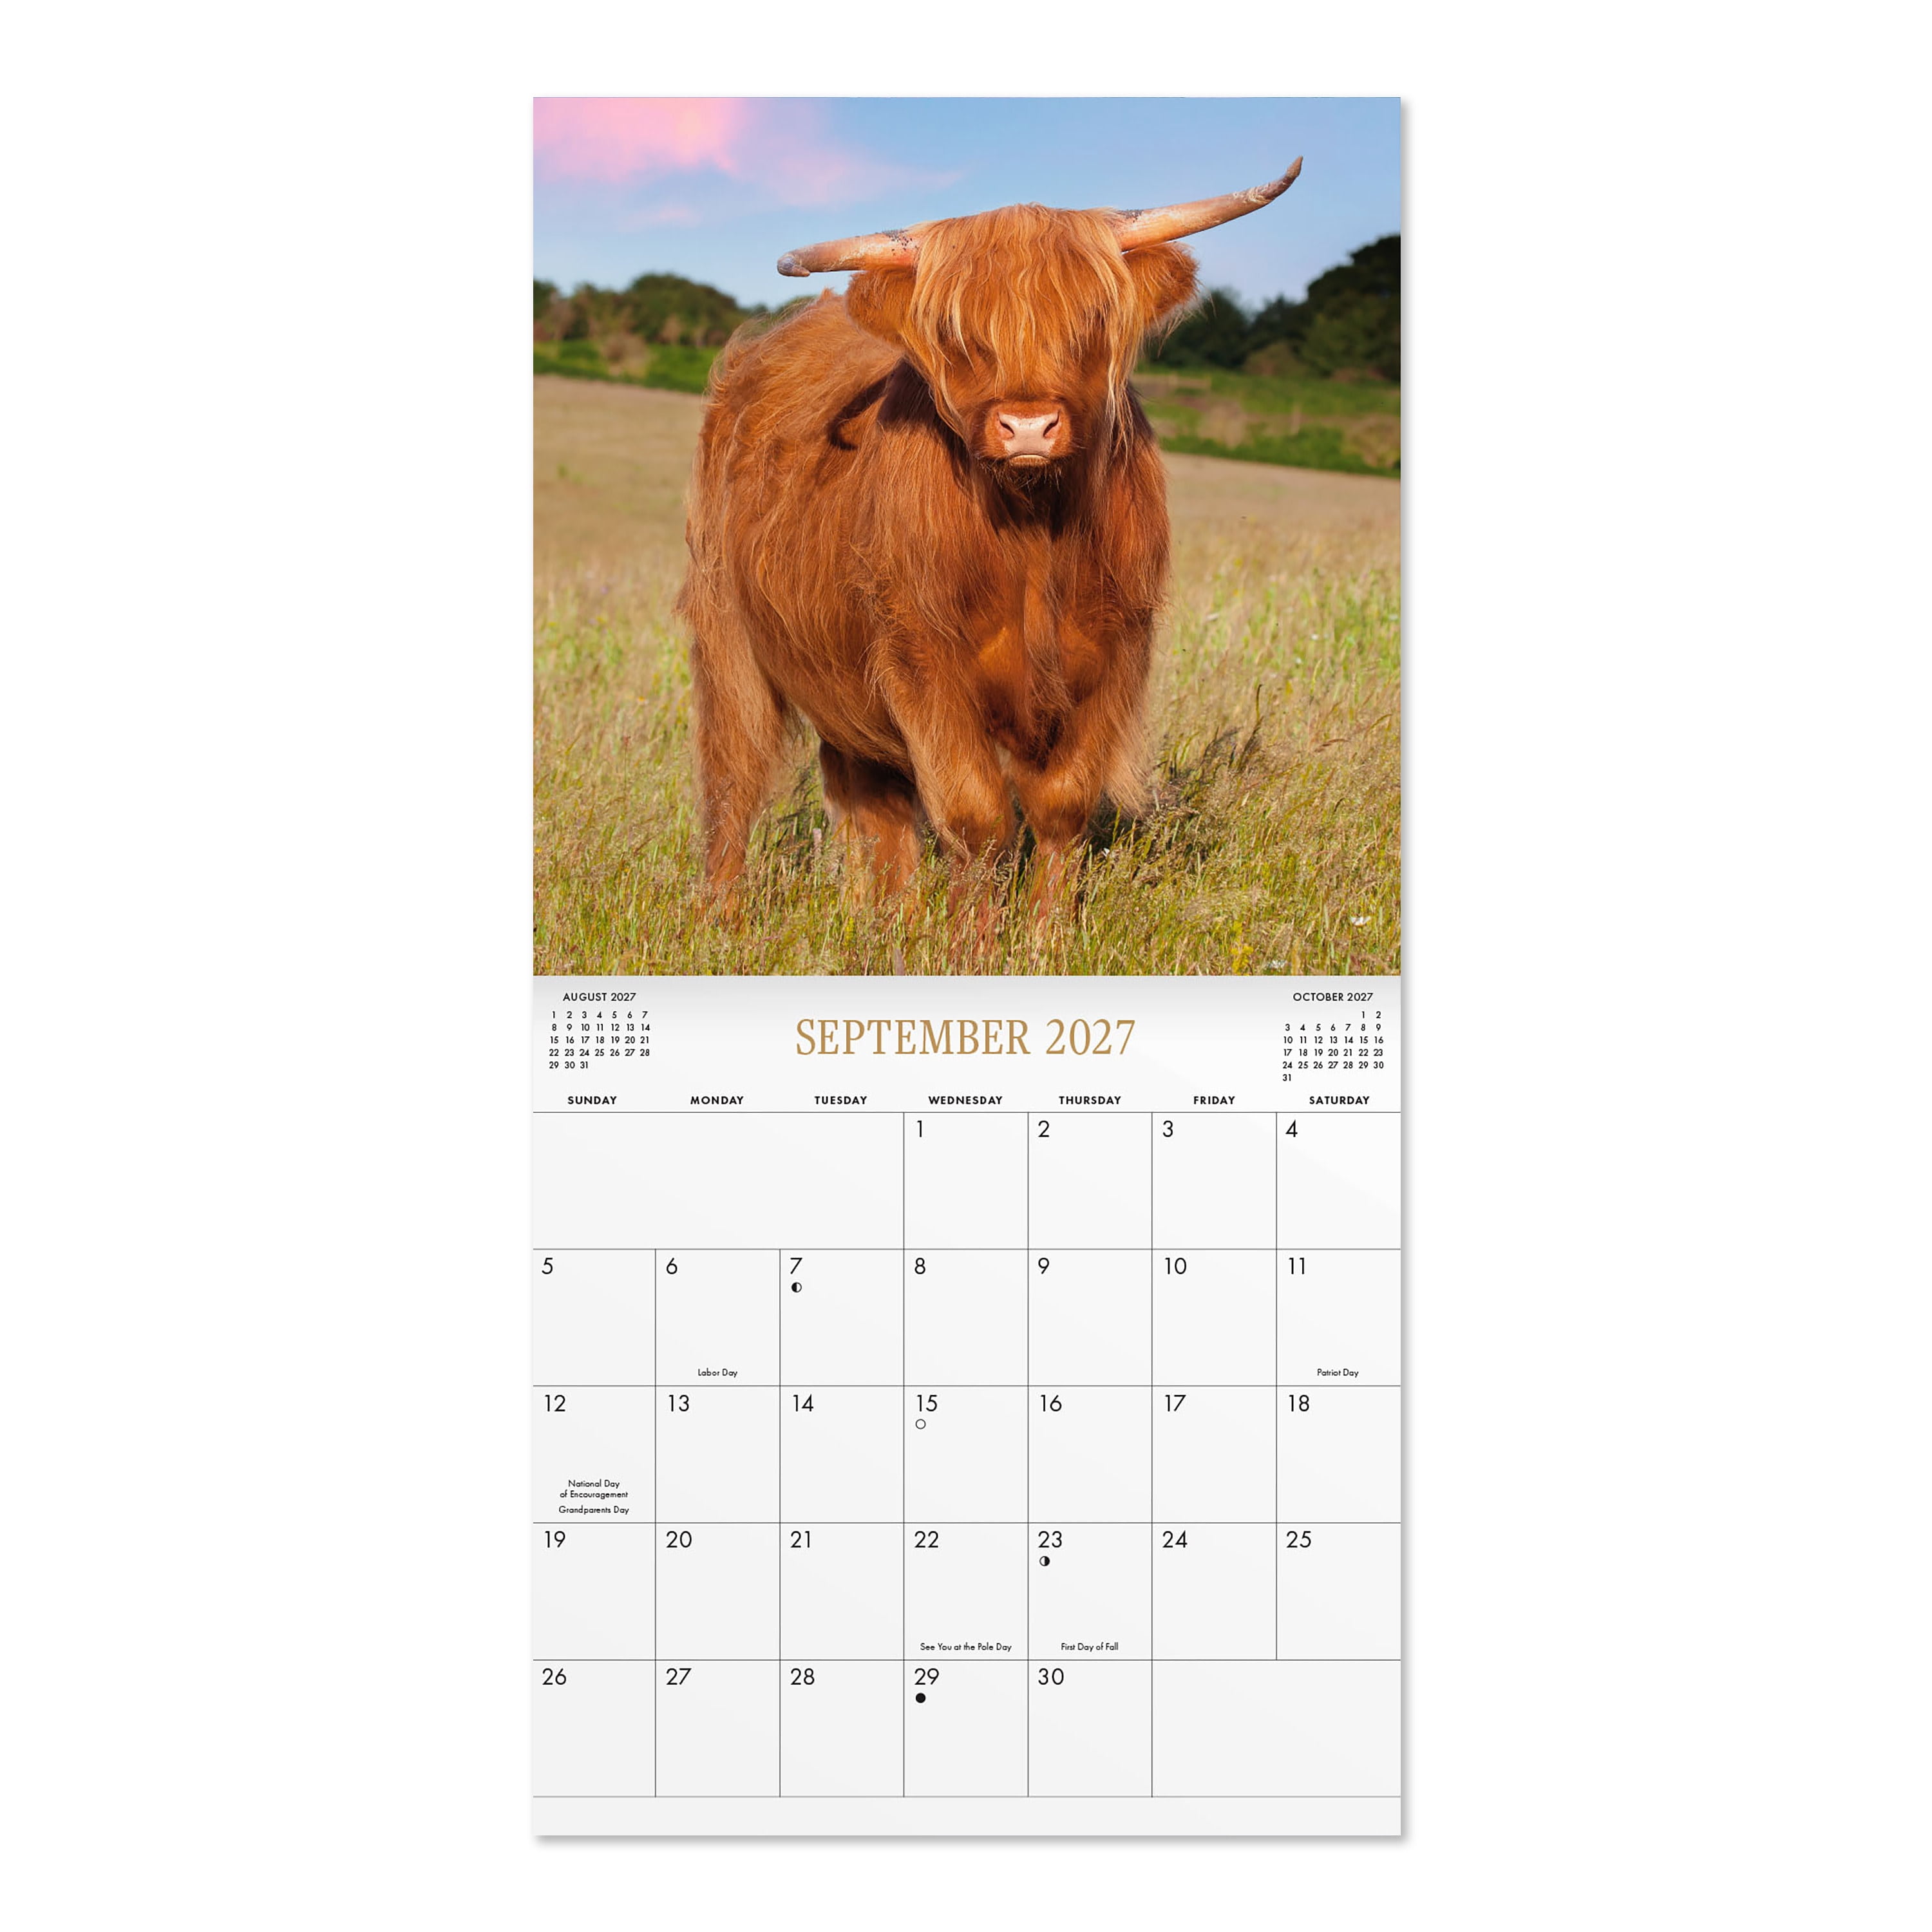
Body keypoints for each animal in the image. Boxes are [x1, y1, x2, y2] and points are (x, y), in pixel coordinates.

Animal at [676, 161, 1302, 924]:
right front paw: (969, 943)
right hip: (725, 630)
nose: (1028, 426)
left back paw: (881, 920)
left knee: (865, 797)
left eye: (1091, 320)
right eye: (958, 333)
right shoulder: (922, 662)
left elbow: (1062, 809)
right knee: (734, 775)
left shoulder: (1113, 654)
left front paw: (1044, 938)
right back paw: (722, 918)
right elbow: (977, 821)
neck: (1034, 536)